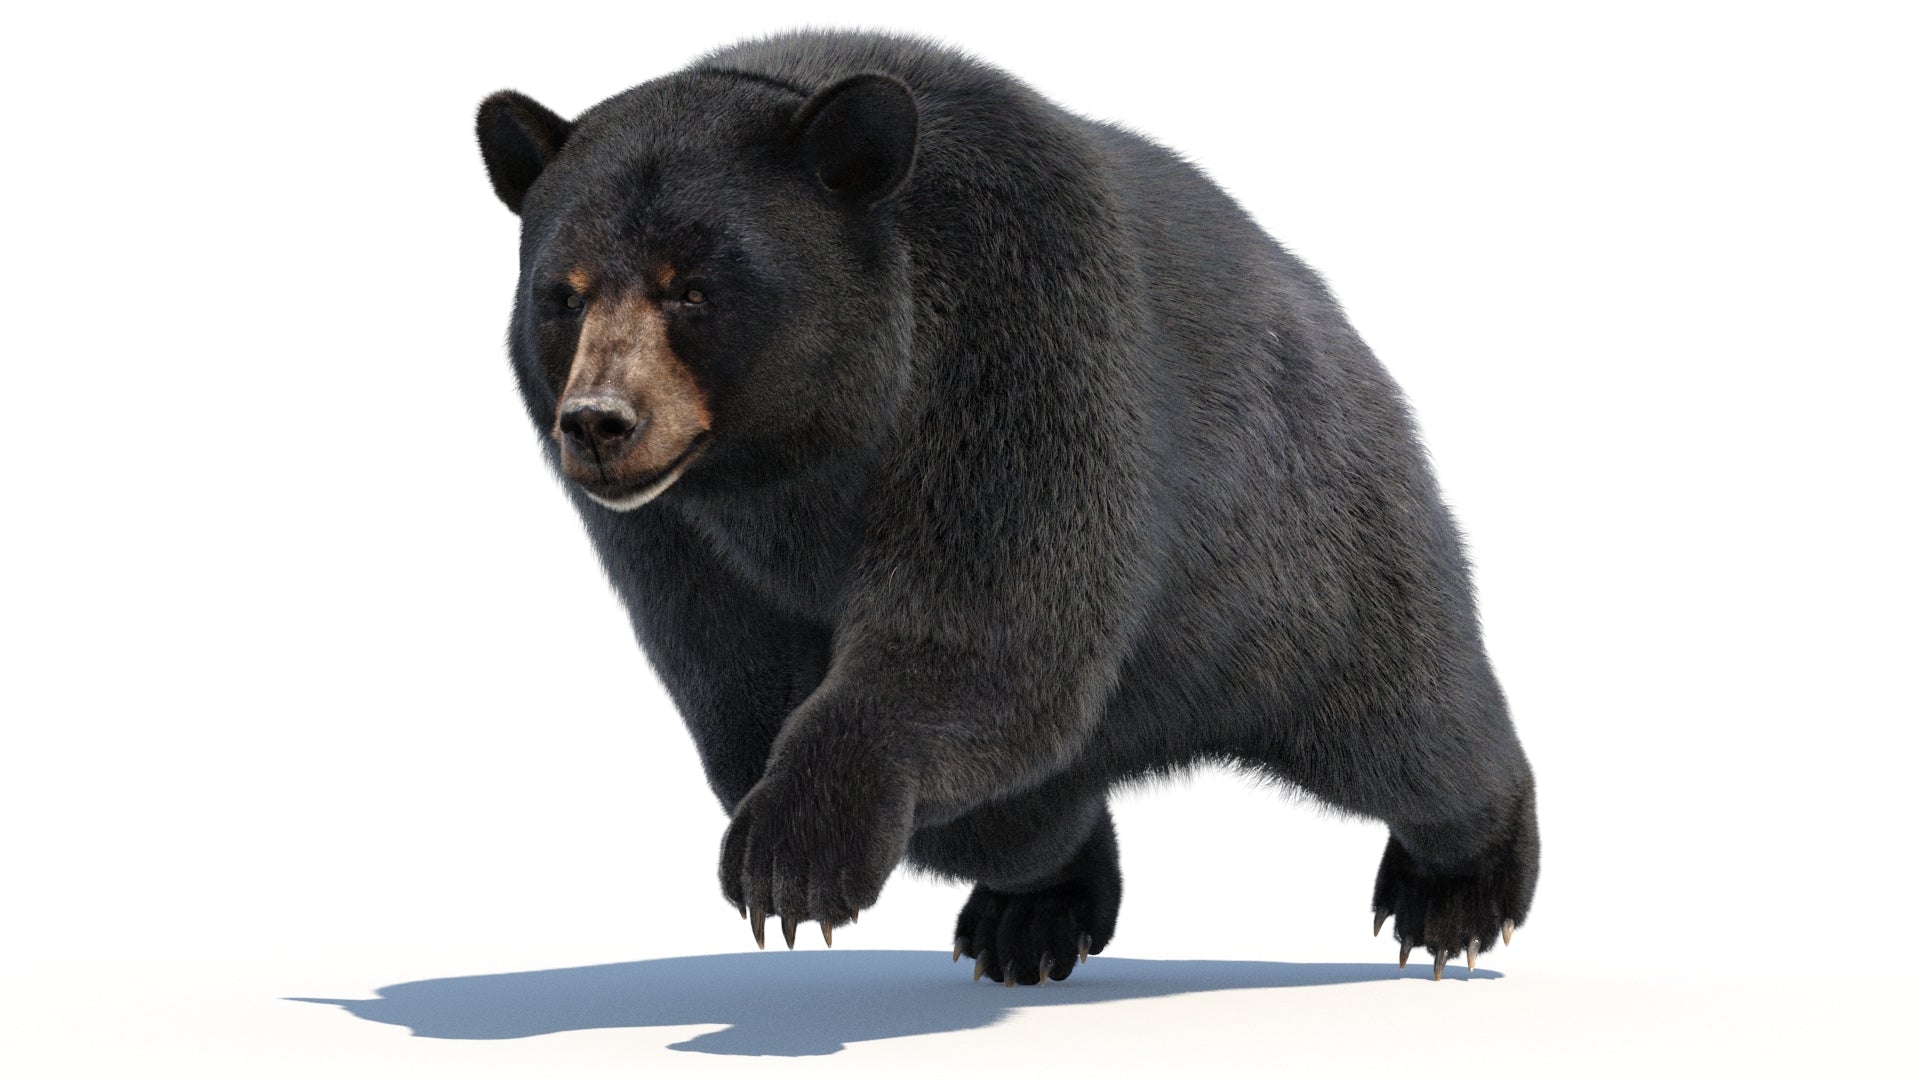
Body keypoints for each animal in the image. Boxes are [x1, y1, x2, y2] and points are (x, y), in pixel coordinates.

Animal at [475, 29, 1538, 986]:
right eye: (562, 295)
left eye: (692, 289)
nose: (599, 423)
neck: (802, 459)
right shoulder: (676, 533)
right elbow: (746, 676)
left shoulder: (1021, 324)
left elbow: (989, 623)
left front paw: (795, 854)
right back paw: (1034, 910)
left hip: (1294, 544)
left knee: (1406, 725)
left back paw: (1459, 890)